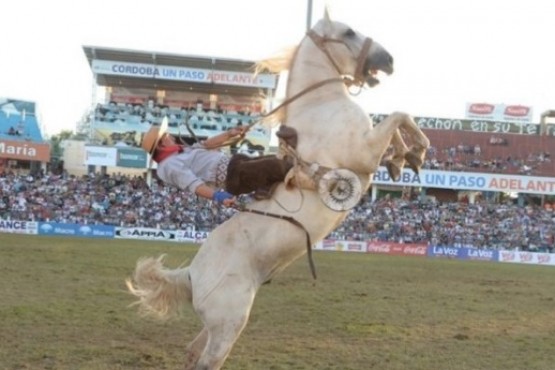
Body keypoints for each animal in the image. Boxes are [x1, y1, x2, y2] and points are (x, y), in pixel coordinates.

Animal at [128, 11, 432, 370]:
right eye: (349, 32)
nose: (388, 60)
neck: (321, 106)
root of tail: (190, 272)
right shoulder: (363, 154)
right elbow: (400, 116)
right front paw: (417, 151)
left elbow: (396, 126)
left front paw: (403, 159)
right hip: (229, 324)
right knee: (207, 361)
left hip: (214, 326)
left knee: (192, 352)